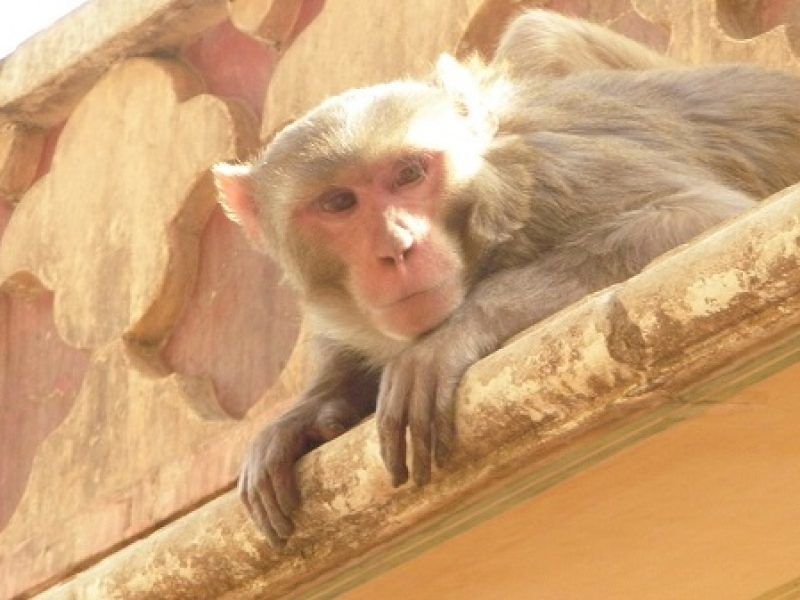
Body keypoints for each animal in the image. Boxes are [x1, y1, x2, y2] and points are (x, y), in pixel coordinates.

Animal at [213, 10, 800, 547]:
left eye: (409, 173)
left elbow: (699, 215)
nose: (397, 247)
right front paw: (313, 410)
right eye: (338, 203)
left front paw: (452, 334)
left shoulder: (551, 181)